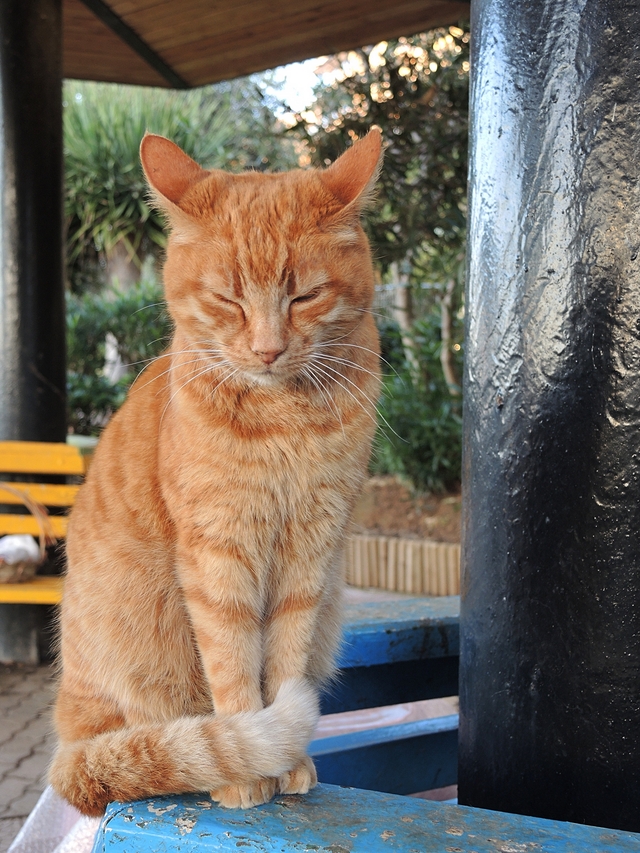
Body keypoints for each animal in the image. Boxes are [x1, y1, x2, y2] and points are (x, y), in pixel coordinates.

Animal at [51, 130, 380, 816]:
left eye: (305, 296)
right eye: (228, 299)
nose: (268, 350)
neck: (284, 421)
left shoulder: (310, 552)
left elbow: (284, 657)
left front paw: (289, 761)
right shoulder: (218, 550)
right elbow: (233, 663)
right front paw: (248, 766)